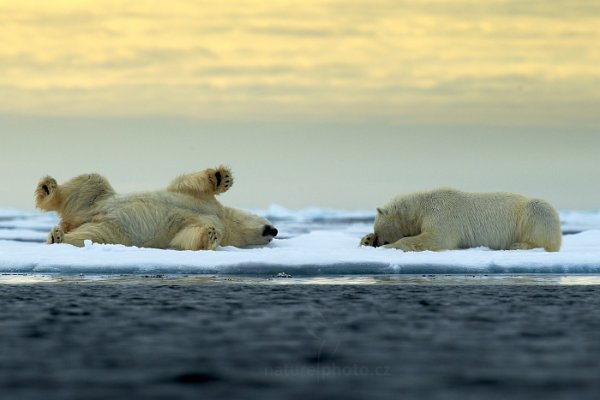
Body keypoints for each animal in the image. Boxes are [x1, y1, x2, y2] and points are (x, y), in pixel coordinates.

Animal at [37, 166, 278, 250]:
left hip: (112, 232)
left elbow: (187, 236)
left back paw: (58, 236)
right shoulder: (203, 200)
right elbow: (191, 183)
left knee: (89, 236)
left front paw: (210, 235)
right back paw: (47, 188)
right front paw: (222, 177)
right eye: (269, 228)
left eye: (272, 236)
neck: (223, 217)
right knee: (90, 182)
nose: (274, 230)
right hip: (97, 201)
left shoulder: (209, 221)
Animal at [360, 189, 564, 252]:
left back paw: (517, 245)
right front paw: (366, 240)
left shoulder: (443, 214)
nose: (377, 242)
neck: (421, 205)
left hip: (533, 212)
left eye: (379, 228)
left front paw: (391, 246)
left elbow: (436, 239)